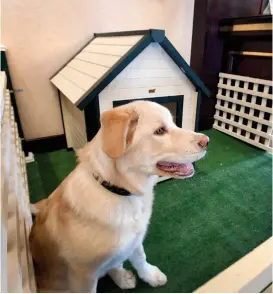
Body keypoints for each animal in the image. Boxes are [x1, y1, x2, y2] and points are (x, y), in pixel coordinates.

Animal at [29, 100, 208, 292]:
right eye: (160, 131)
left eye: (174, 124)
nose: (207, 141)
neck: (120, 192)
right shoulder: (84, 276)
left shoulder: (136, 238)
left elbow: (140, 257)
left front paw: (149, 275)